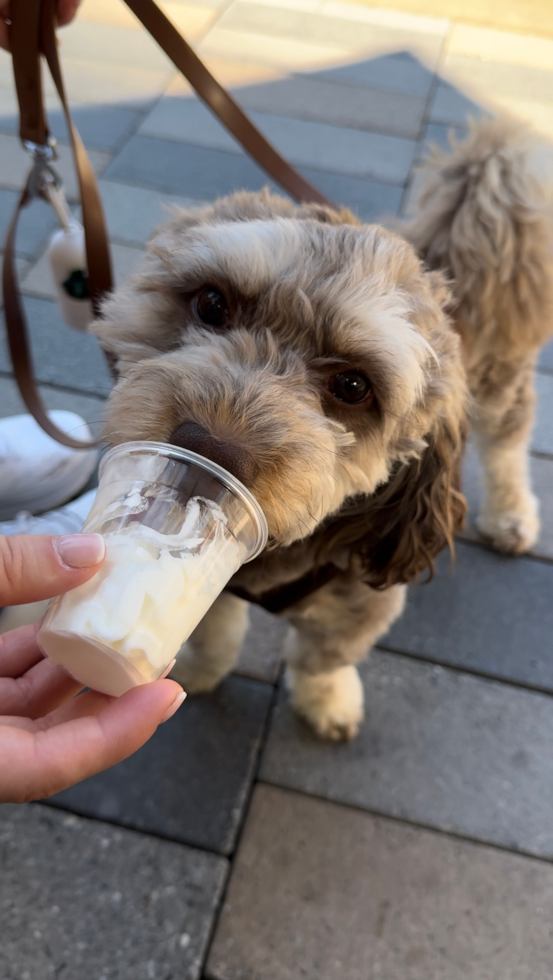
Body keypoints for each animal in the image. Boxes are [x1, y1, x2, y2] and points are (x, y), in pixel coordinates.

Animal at [92, 118, 552, 740]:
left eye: (354, 386)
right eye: (211, 302)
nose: (207, 446)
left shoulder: (359, 606)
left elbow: (322, 658)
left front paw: (328, 702)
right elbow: (211, 629)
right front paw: (197, 670)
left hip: (504, 386)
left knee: (506, 445)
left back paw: (511, 515)